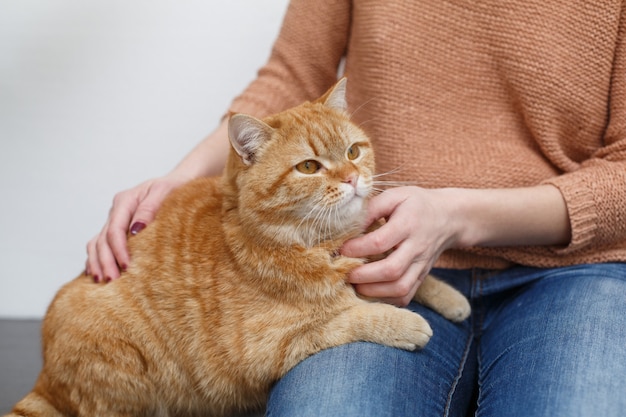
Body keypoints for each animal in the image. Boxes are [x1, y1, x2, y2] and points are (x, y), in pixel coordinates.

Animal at [6, 79, 468, 416]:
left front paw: (452, 298)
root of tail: (44, 379)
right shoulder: (269, 346)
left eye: (354, 151)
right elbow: (345, 318)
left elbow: (412, 274)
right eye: (309, 167)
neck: (322, 240)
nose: (353, 179)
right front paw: (404, 322)